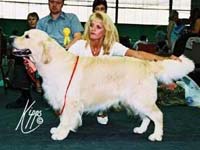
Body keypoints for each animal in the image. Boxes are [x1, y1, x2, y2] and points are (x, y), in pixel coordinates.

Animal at [12, 29, 194, 142]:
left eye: (27, 36)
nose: (10, 39)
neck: (51, 61)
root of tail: (147, 64)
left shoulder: (70, 100)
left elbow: (66, 119)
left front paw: (60, 133)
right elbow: (64, 118)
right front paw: (58, 130)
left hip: (141, 99)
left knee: (157, 115)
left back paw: (156, 135)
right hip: (134, 100)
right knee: (147, 117)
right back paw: (141, 130)